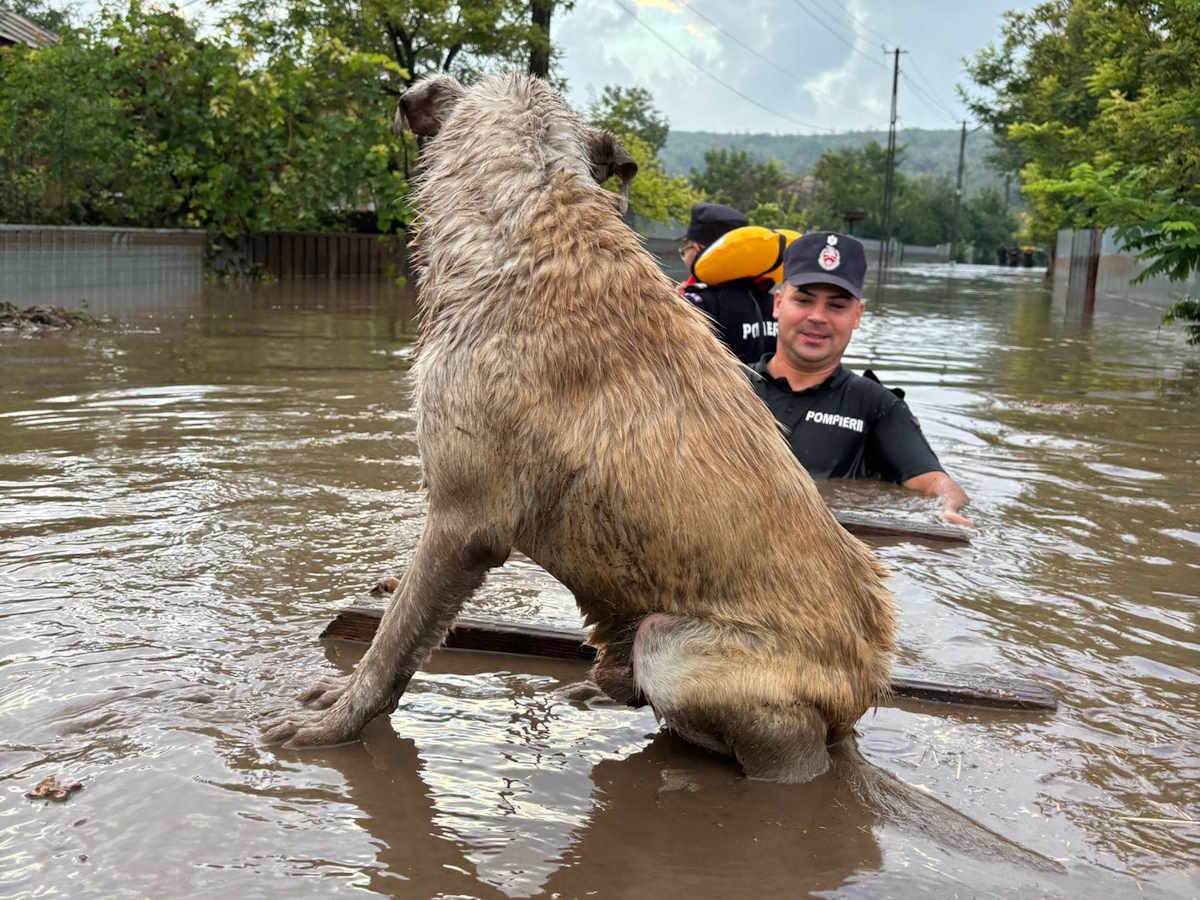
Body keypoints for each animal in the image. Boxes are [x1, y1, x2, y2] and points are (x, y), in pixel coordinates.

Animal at [267, 74, 897, 787]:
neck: (532, 217)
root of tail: (867, 683)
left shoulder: (463, 522)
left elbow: (393, 642)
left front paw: (336, 721)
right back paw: (597, 690)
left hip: (676, 649)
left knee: (786, 747)